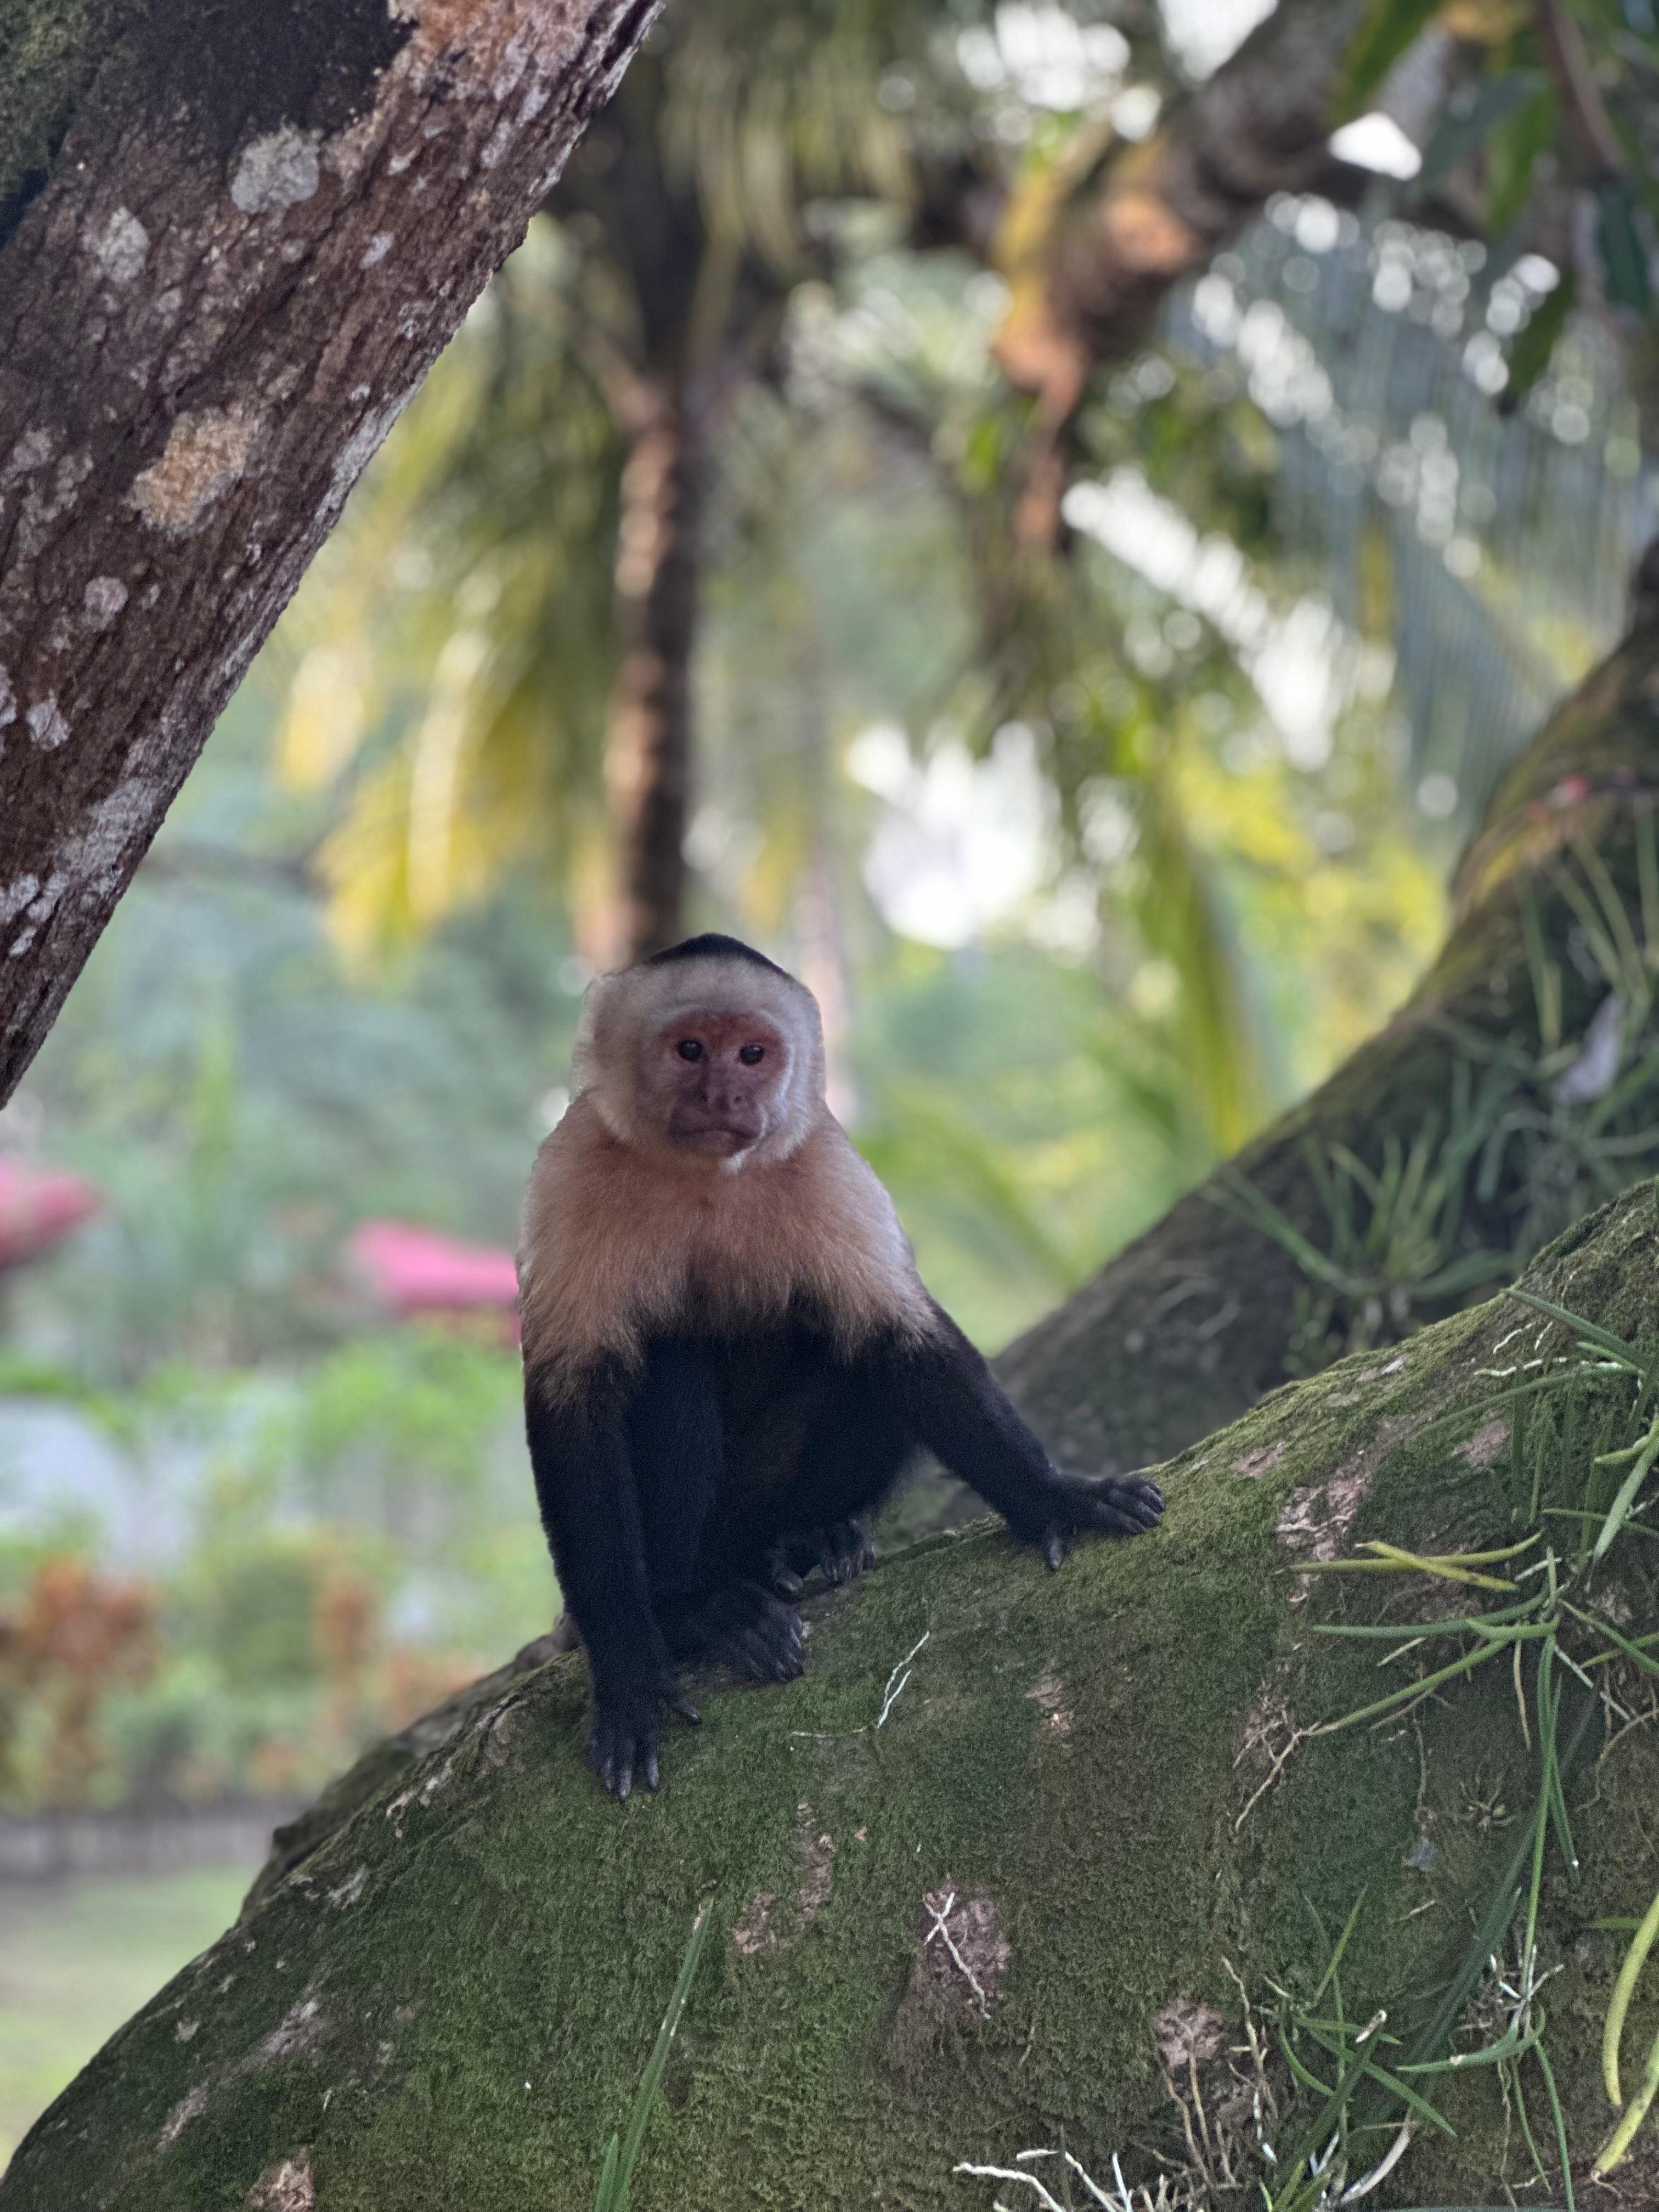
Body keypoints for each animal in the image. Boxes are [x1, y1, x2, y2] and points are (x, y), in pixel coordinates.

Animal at [517, 933, 1164, 1798]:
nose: (726, 1093)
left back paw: (812, 1540)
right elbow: (574, 1408)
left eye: (753, 1054)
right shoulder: (573, 1169)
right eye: (691, 1050)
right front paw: (631, 1676)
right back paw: (693, 1604)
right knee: (668, 1360)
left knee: (850, 1353)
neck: (702, 1179)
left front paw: (1056, 1496)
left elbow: (901, 1340)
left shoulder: (825, 1163)